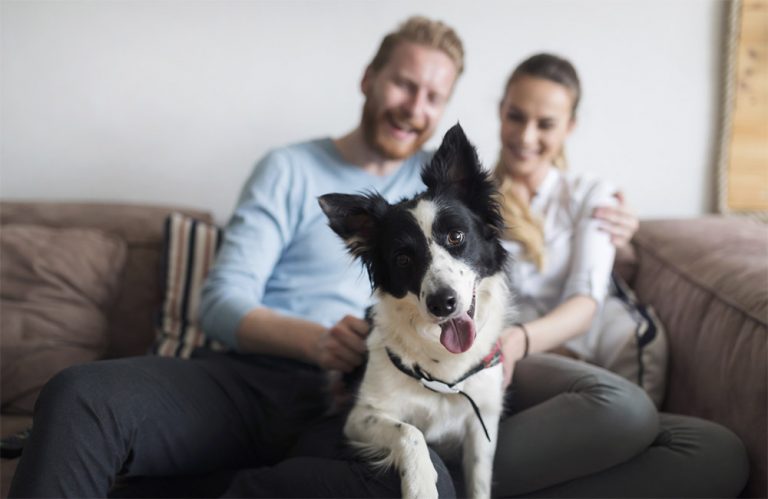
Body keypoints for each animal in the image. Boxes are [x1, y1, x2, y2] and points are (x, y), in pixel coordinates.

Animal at [318, 124, 510, 499]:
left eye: (456, 236)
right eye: (403, 259)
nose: (442, 303)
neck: (444, 367)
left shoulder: (482, 424)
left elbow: (479, 481)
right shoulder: (361, 417)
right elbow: (411, 432)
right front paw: (421, 484)